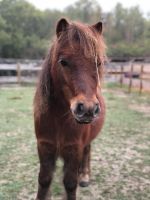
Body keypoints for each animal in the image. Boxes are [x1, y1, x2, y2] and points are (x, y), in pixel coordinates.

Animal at [34, 18, 105, 199]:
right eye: (63, 61)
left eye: (98, 63)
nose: (87, 108)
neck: (59, 120)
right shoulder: (44, 147)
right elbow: (44, 180)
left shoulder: (74, 148)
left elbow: (71, 183)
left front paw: (80, 177)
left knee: (87, 151)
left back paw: (84, 176)